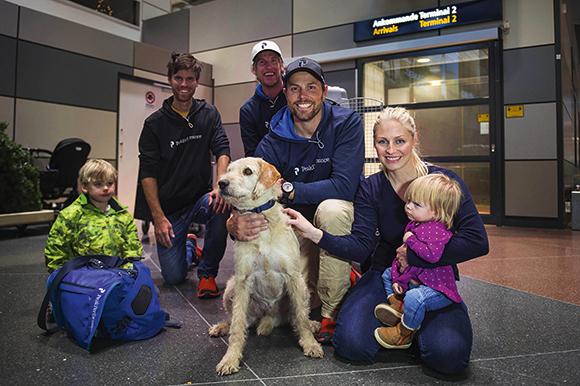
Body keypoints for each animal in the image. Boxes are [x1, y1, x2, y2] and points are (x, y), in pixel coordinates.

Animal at [208, 157, 324, 376]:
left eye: (247, 171)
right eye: (228, 170)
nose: (221, 183)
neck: (260, 216)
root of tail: (269, 317)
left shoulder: (293, 276)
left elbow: (301, 317)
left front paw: (310, 344)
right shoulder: (242, 281)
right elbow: (237, 326)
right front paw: (230, 358)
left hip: (303, 288)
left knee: (296, 316)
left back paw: (312, 324)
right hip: (231, 288)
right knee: (237, 320)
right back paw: (222, 327)